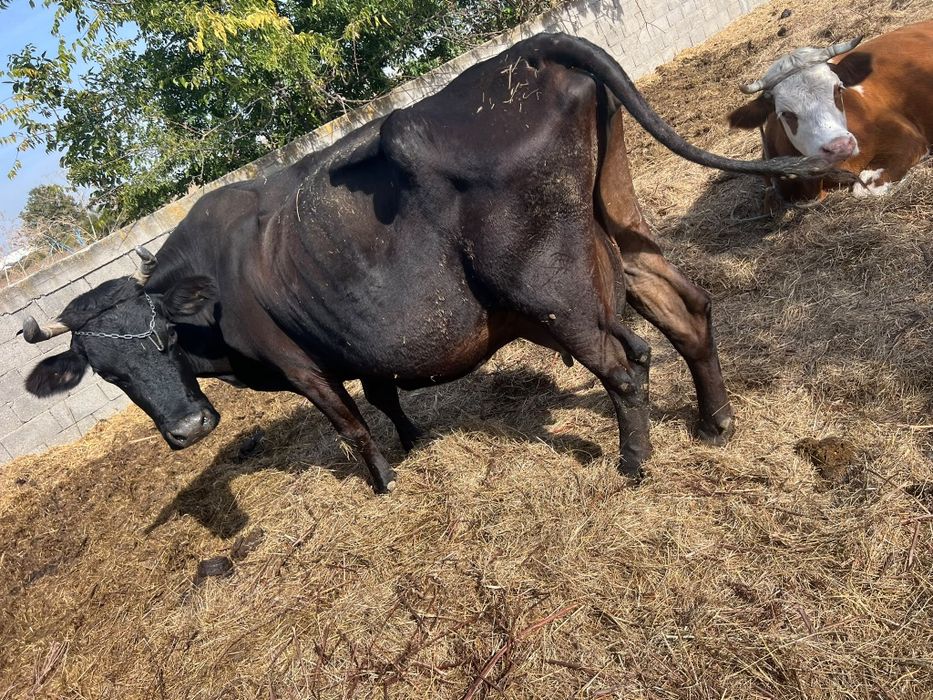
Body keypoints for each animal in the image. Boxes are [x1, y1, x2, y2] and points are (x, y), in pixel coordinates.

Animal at [19, 33, 835, 494]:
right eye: (107, 372)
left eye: (161, 337)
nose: (188, 428)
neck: (213, 286)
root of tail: (524, 54)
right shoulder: (355, 341)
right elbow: (382, 392)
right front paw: (412, 443)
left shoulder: (298, 362)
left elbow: (350, 422)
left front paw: (382, 482)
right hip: (619, 229)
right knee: (686, 311)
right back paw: (714, 420)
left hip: (548, 287)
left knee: (623, 362)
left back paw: (634, 462)